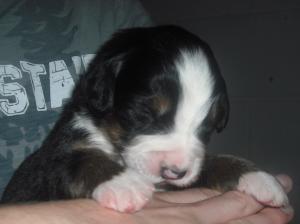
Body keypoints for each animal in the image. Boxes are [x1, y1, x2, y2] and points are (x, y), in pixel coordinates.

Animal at [1, 25, 290, 213]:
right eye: (143, 113)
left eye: (207, 128)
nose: (174, 171)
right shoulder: (53, 160)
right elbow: (80, 159)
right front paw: (123, 183)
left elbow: (210, 163)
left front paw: (258, 177)